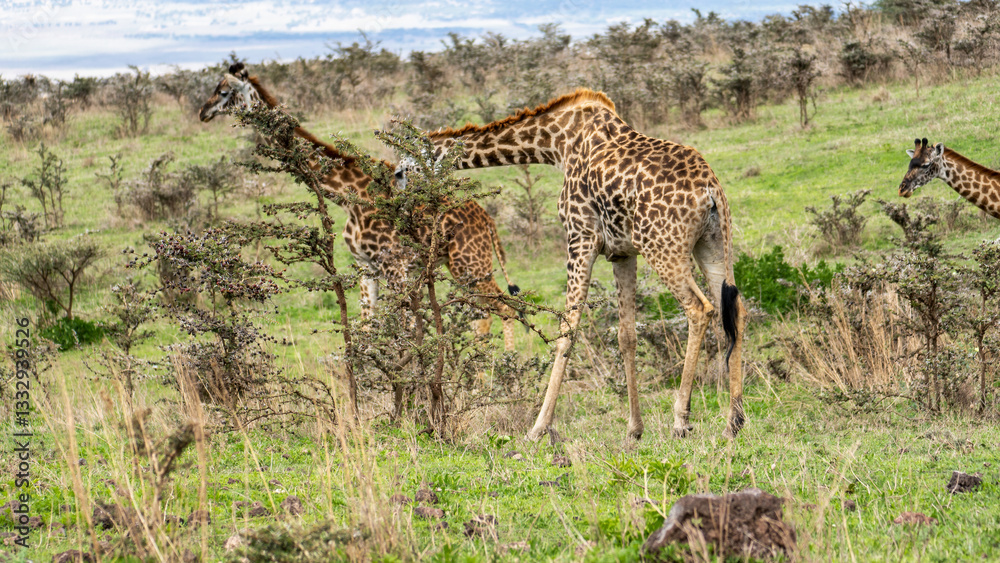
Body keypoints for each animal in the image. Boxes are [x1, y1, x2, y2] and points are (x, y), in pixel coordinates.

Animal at [198, 63, 522, 349]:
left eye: (224, 91)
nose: (203, 112)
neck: (347, 197)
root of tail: (488, 220)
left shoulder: (394, 266)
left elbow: (405, 335)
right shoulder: (367, 267)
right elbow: (368, 333)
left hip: (471, 264)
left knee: (505, 310)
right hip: (460, 266)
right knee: (483, 315)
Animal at [399, 89, 747, 441]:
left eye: (402, 170)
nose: (403, 203)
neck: (558, 142)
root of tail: (710, 189)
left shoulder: (580, 237)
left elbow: (567, 330)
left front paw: (538, 428)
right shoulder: (623, 253)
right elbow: (626, 336)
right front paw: (634, 429)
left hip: (663, 248)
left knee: (699, 309)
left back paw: (681, 420)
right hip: (713, 243)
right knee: (735, 308)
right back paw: (733, 421)